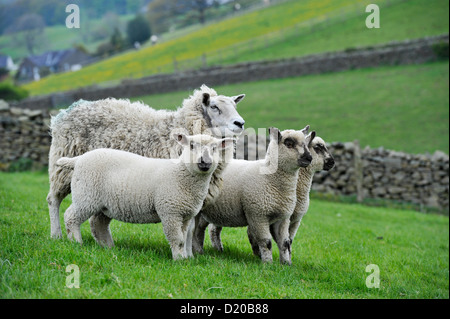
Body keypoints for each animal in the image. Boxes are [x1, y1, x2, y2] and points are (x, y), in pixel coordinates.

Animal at [47, 85, 244, 240]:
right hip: (62, 165)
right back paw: (56, 234)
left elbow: (192, 227)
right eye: (214, 107)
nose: (240, 123)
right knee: (53, 199)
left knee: (97, 219)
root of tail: (67, 111)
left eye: (235, 105)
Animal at [55, 134, 232, 262]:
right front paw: (178, 260)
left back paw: (108, 247)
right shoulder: (170, 212)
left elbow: (185, 238)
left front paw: (185, 258)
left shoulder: (185, 214)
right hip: (86, 195)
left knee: (98, 224)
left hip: (104, 204)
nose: (205, 162)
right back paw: (76, 242)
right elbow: (177, 239)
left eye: (214, 148)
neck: (182, 174)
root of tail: (78, 159)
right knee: (71, 216)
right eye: (192, 145)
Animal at [192, 127, 312, 264]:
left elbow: (285, 243)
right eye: (289, 144)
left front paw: (286, 264)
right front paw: (268, 263)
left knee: (199, 229)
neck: (270, 179)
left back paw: (199, 251)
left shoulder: (283, 217)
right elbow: (266, 242)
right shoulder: (257, 214)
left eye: (305, 143)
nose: (309, 158)